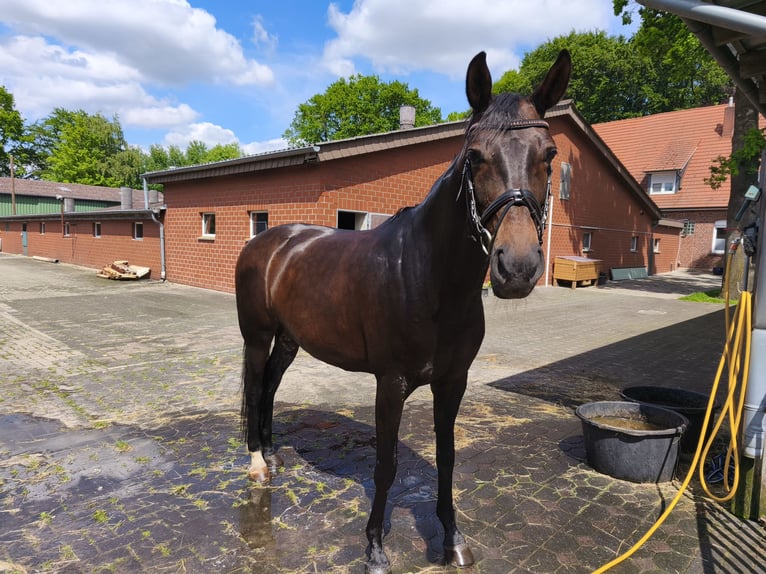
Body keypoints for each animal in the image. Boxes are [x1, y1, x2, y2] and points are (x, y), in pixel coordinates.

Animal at [235, 49, 571, 574]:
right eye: (475, 156)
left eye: (549, 154)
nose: (516, 267)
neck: (428, 277)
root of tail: (263, 242)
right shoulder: (389, 383)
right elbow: (386, 464)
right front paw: (375, 547)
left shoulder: (453, 382)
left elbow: (447, 457)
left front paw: (453, 539)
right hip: (256, 336)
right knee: (254, 389)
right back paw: (256, 465)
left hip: (288, 341)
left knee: (269, 387)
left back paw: (272, 457)